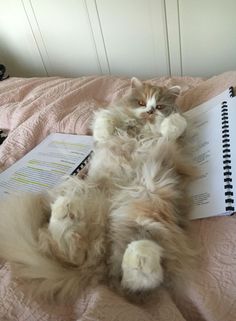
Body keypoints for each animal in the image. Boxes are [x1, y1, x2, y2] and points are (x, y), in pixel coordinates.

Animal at [0, 77, 197, 300]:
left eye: (160, 106)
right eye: (141, 102)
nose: (150, 111)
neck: (139, 129)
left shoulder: (175, 143)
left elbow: (176, 125)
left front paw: (169, 121)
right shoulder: (106, 126)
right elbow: (104, 121)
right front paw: (109, 127)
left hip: (147, 212)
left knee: (129, 280)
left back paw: (140, 256)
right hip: (86, 194)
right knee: (71, 252)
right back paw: (66, 212)